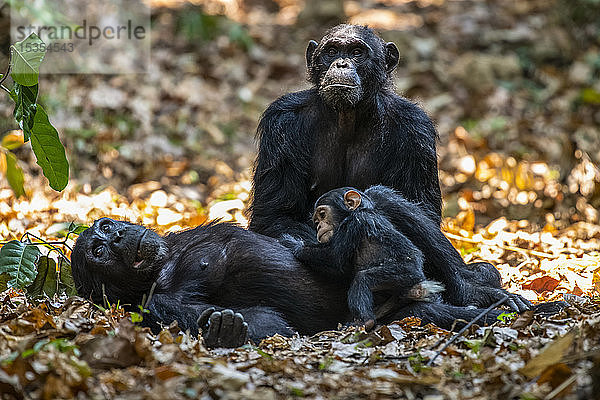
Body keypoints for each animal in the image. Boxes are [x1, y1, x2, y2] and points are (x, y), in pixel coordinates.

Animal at [70, 219, 528, 346]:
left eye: (105, 227)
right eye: (98, 252)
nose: (115, 237)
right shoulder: (157, 303)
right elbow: (268, 322)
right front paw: (224, 329)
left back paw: (483, 287)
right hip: (404, 310)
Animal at [280, 188, 440, 324]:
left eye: (322, 214)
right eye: (316, 221)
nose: (319, 226)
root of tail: (419, 287)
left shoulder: (354, 222)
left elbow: (334, 257)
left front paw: (293, 243)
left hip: (406, 273)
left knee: (362, 280)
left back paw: (365, 321)